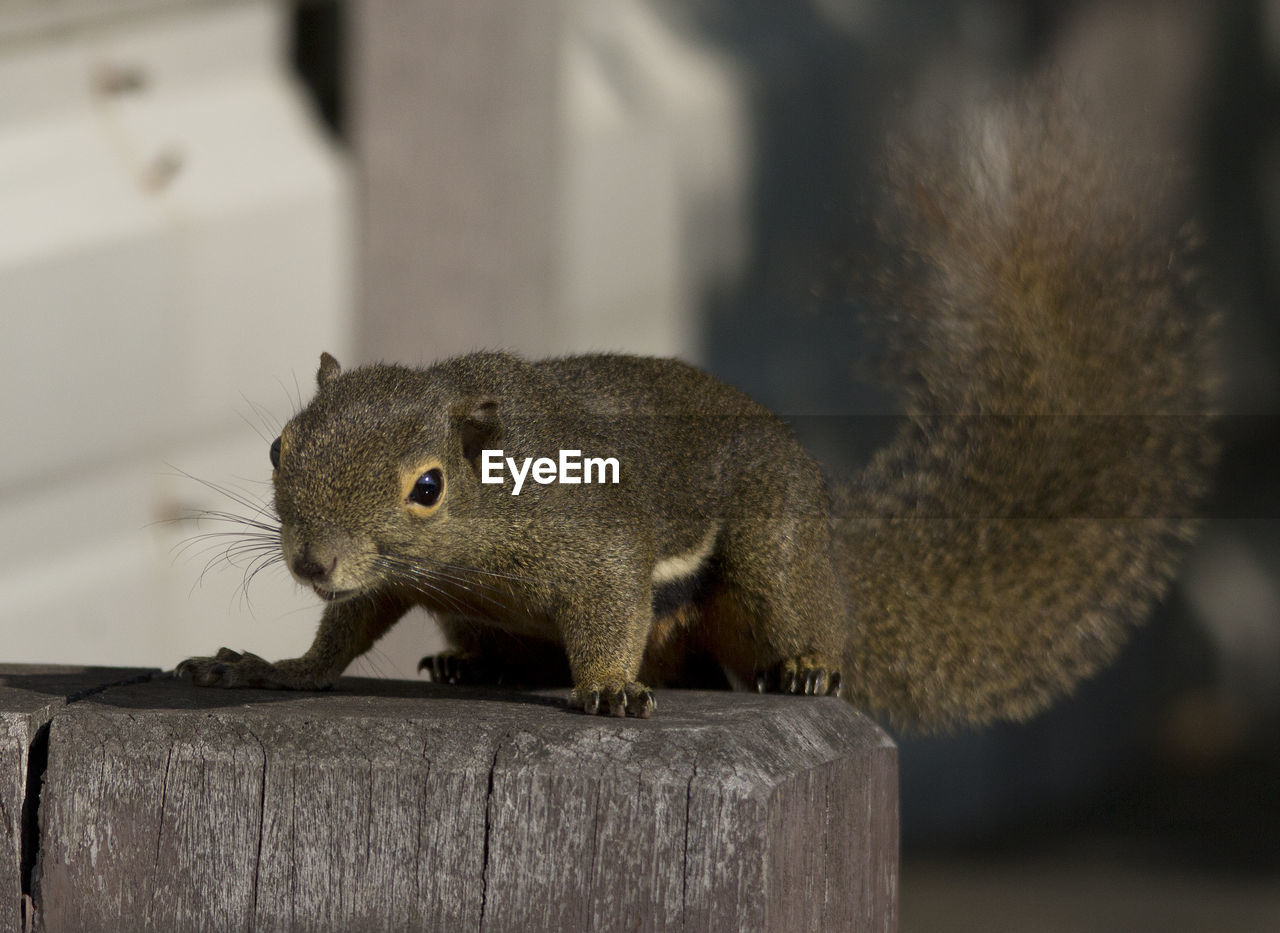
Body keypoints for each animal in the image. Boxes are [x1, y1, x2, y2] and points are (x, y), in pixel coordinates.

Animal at [175, 88, 1213, 726]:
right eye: (278, 449)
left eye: (427, 486)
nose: (312, 560)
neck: (481, 522)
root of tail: (838, 564)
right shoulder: (393, 579)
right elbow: (345, 631)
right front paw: (272, 668)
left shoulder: (589, 537)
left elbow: (609, 605)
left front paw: (605, 687)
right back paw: (479, 664)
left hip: (774, 557)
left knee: (795, 624)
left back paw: (805, 666)